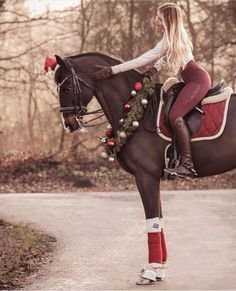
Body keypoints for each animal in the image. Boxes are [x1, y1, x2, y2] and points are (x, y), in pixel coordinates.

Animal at [53, 53, 236, 282]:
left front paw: (150, 270)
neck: (137, 106)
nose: (69, 123)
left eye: (67, 87)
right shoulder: (152, 178)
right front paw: (160, 269)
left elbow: (152, 221)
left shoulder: (145, 176)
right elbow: (159, 219)